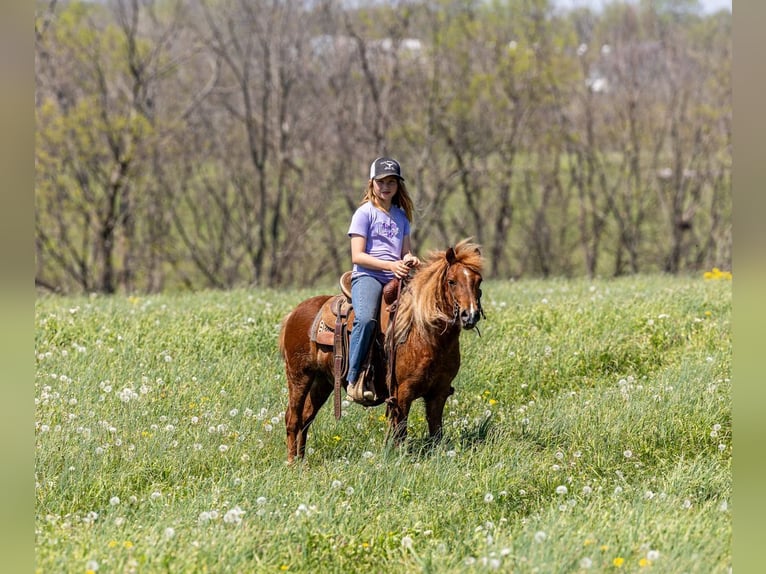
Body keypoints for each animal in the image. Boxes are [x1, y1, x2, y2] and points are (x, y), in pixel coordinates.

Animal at [278, 239, 484, 463]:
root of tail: (294, 313)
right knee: (293, 417)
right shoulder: (402, 393)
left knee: (306, 417)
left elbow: (436, 433)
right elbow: (400, 434)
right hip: (299, 376)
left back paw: (302, 462)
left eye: (478, 281)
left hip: (322, 381)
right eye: (452, 281)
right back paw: (292, 463)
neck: (425, 334)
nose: (469, 315)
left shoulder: (438, 392)